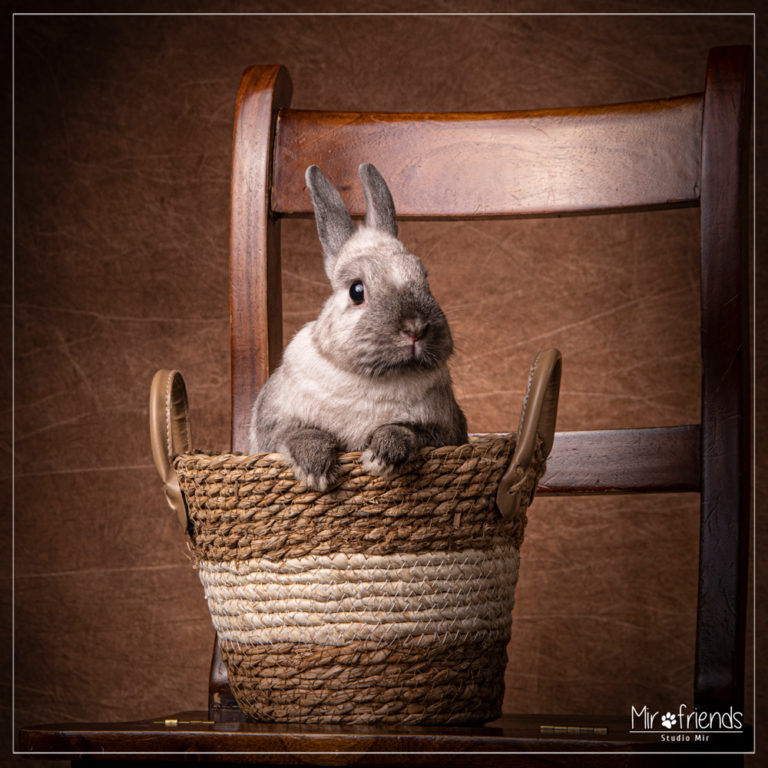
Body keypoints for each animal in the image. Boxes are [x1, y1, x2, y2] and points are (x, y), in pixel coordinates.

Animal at [248, 162, 468, 491]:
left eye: (425, 279)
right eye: (356, 291)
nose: (414, 328)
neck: (373, 378)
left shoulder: (445, 431)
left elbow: (406, 430)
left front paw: (381, 456)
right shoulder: (274, 426)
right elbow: (300, 434)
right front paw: (316, 469)